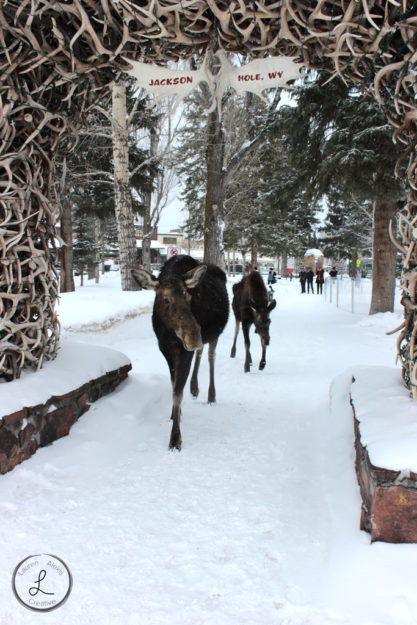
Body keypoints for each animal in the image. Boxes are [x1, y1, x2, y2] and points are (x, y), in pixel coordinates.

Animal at [131, 254, 228, 448]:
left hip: (215, 334)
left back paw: (211, 395)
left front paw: (175, 439)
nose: (193, 335)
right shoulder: (166, 350)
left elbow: (177, 393)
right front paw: (175, 414)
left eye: (189, 296)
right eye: (165, 299)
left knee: (210, 356)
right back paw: (194, 387)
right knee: (200, 352)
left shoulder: (183, 350)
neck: (168, 334)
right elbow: (174, 385)